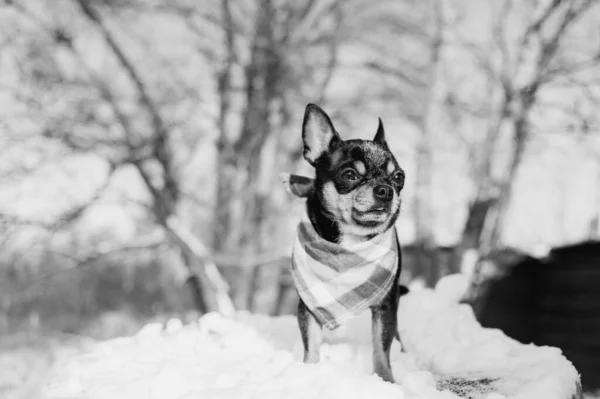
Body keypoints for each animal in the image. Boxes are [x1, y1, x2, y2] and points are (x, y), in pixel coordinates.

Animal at [284, 103, 406, 384]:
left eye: (399, 177)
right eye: (349, 175)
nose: (385, 190)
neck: (351, 245)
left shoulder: (386, 305)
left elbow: (381, 347)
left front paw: (386, 381)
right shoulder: (308, 306)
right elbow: (311, 344)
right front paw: (309, 372)